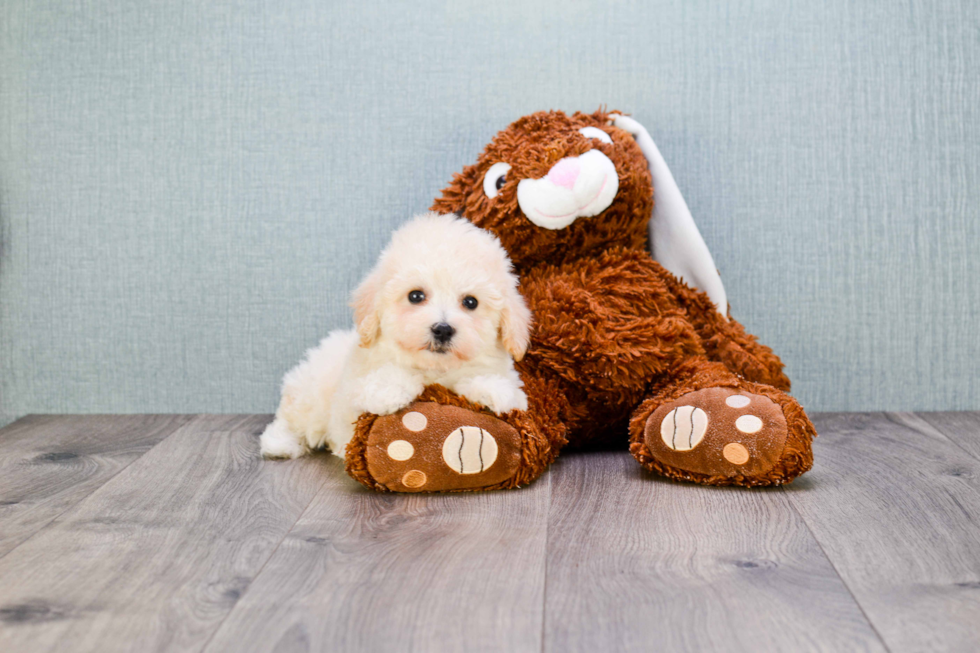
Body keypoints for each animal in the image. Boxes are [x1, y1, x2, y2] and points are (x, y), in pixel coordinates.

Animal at [260, 213, 532, 458]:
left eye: (471, 302)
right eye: (415, 296)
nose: (442, 329)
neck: (434, 370)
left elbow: (501, 387)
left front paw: (491, 390)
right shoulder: (347, 403)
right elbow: (374, 385)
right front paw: (389, 390)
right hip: (309, 396)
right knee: (289, 418)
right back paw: (280, 445)